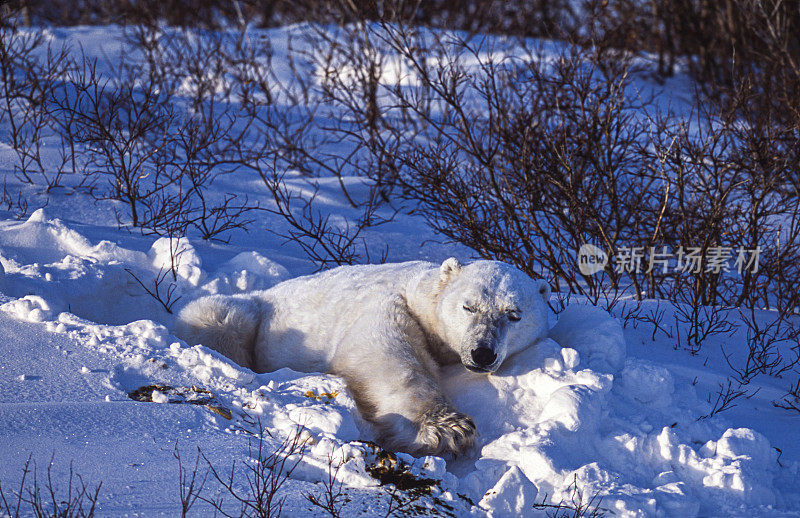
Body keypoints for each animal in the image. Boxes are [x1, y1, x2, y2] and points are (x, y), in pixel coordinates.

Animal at [175, 258, 552, 456]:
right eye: (468, 306)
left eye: (514, 314)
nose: (483, 352)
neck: (421, 292)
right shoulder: (389, 304)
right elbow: (385, 353)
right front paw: (448, 429)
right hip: (254, 313)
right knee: (221, 317)